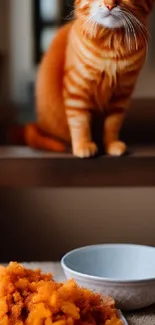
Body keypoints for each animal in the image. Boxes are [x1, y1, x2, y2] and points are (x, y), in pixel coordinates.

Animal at [24, 0, 154, 157]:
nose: (110, 5)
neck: (111, 44)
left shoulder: (121, 95)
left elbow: (112, 124)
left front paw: (111, 144)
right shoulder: (76, 89)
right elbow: (80, 122)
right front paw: (83, 145)